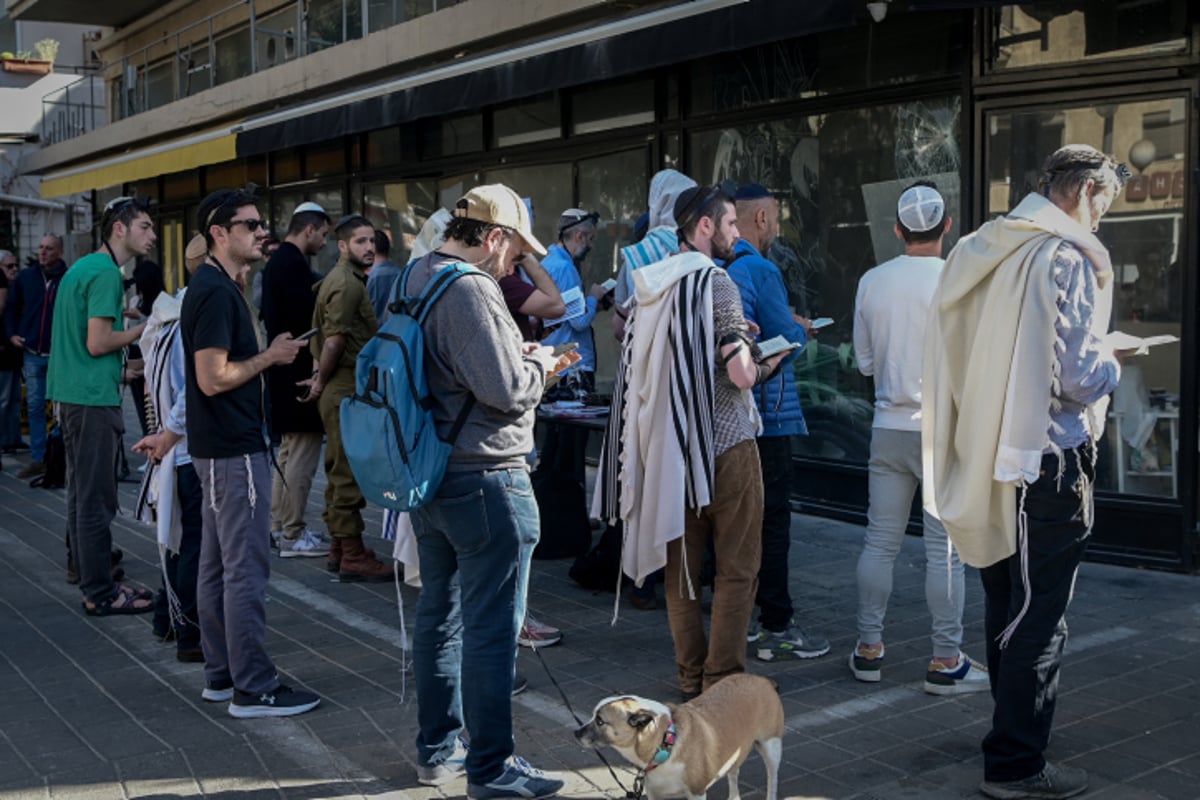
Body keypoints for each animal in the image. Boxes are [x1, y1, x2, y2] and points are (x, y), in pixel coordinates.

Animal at [573, 676, 782, 800]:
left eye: (600, 721)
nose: (576, 733)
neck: (666, 745)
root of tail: (762, 679)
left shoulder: (697, 793)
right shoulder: (654, 794)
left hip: (771, 747)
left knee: (772, 778)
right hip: (735, 750)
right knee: (733, 772)